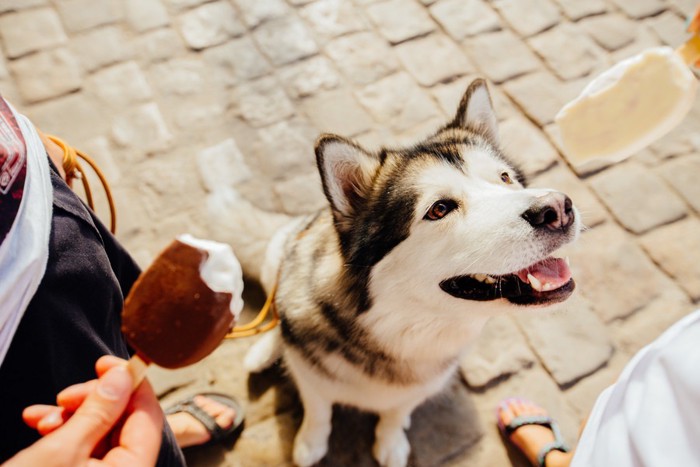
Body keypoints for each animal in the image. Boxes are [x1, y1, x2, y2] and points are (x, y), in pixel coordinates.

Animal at [242, 79, 580, 467]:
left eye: (505, 178)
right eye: (439, 209)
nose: (558, 208)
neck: (395, 329)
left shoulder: (421, 386)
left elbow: (396, 413)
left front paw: (390, 441)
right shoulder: (310, 378)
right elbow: (319, 411)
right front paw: (311, 443)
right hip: (278, 252)